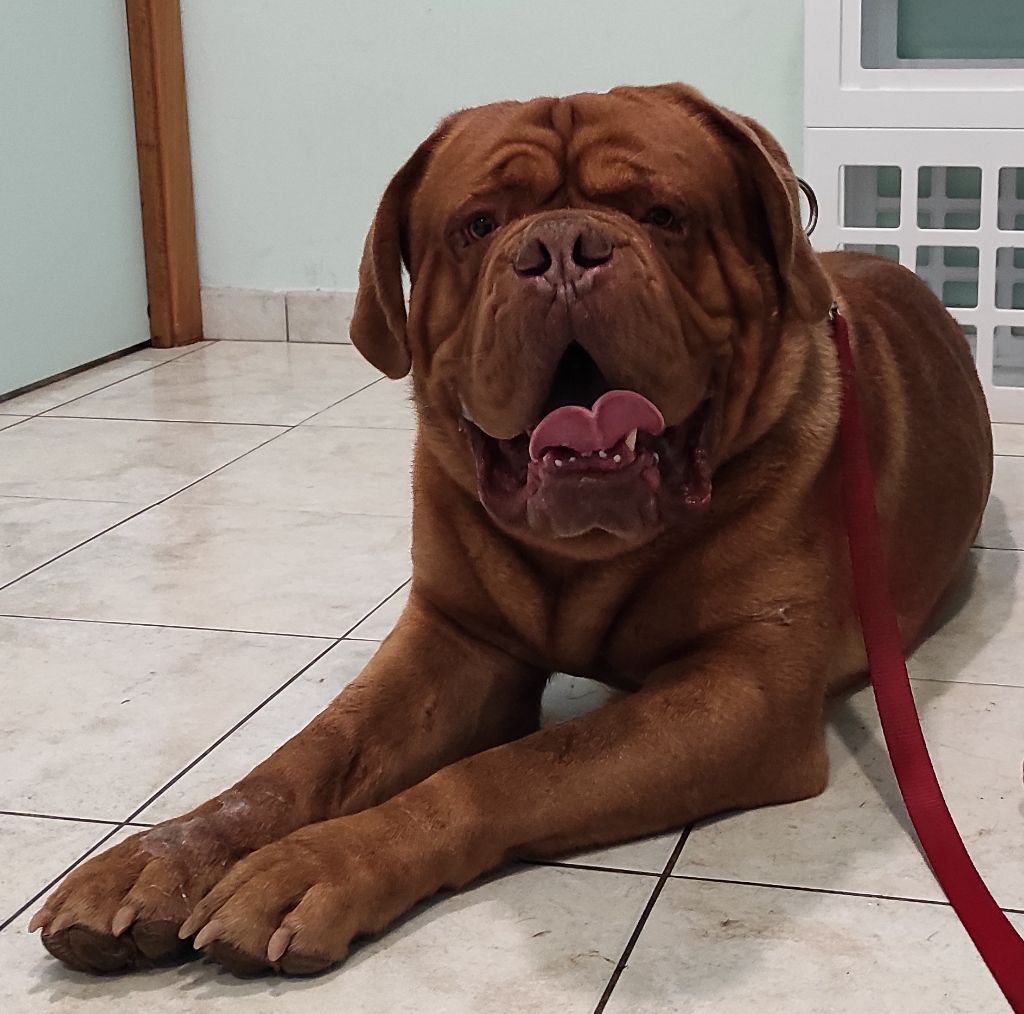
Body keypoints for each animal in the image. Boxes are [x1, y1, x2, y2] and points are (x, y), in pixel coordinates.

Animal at [31, 83, 992, 979]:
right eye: (479, 226)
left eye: (662, 214)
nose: (561, 248)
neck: (587, 557)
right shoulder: (455, 639)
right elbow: (310, 753)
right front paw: (162, 855)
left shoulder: (744, 687)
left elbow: (517, 767)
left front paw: (316, 864)